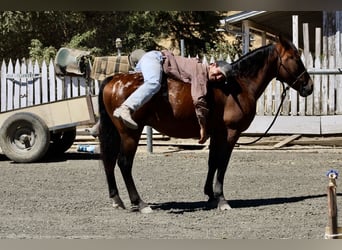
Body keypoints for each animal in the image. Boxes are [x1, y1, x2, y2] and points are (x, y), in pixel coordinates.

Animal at [97, 35, 312, 214]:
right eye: (294, 57)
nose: (309, 86)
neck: (237, 86)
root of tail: (113, 80)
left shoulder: (217, 133)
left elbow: (213, 162)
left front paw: (210, 195)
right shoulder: (231, 133)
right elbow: (222, 163)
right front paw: (221, 199)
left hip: (116, 133)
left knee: (108, 161)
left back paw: (117, 200)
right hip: (130, 134)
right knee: (124, 163)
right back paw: (140, 203)